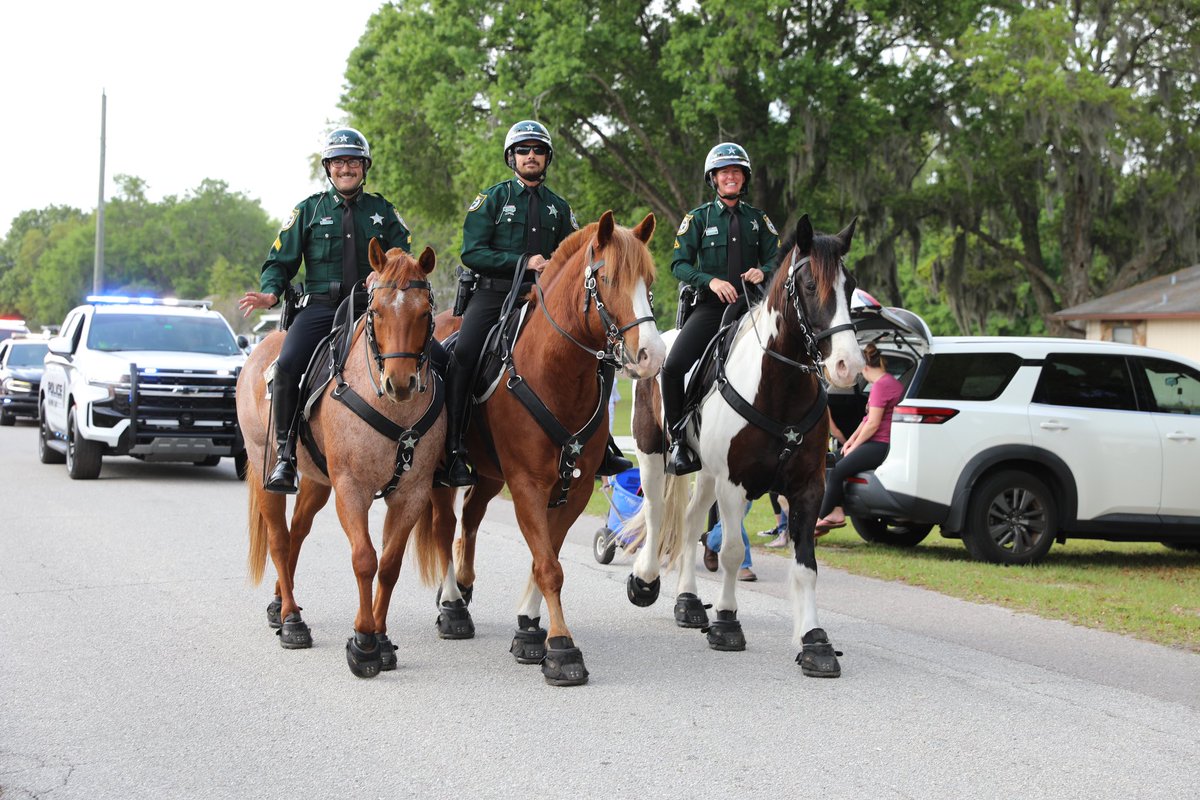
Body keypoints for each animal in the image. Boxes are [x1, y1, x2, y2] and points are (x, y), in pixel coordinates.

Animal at [236, 241, 448, 681]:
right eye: (377, 311)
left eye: (424, 312)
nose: (400, 383)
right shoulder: (352, 489)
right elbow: (365, 559)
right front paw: (363, 643)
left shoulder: (412, 494)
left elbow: (389, 564)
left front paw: (381, 639)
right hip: (266, 466)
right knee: (279, 540)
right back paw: (292, 620)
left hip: (317, 482)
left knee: (296, 534)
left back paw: (281, 604)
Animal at [429, 209, 667, 686]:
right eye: (608, 278)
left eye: (649, 281)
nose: (652, 354)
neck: (556, 373)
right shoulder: (527, 485)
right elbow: (549, 567)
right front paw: (561, 647)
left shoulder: (574, 488)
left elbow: (548, 556)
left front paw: (529, 628)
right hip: (446, 475)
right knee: (445, 528)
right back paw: (451, 606)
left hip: (488, 475)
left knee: (471, 519)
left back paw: (464, 585)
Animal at [619, 212, 864, 676]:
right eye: (810, 285)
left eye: (851, 285)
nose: (848, 366)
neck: (779, 388)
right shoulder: (734, 484)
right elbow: (731, 550)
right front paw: (727, 623)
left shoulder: (808, 487)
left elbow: (806, 566)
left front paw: (814, 640)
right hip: (652, 453)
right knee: (656, 511)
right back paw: (645, 581)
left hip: (706, 473)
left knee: (690, 521)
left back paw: (688, 602)